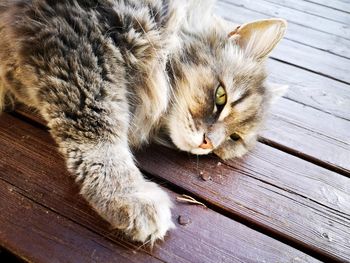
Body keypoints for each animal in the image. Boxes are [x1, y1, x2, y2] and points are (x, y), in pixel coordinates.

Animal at [0, 0, 288, 245]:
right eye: (221, 97)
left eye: (234, 138)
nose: (207, 144)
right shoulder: (76, 45)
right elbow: (100, 135)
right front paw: (129, 196)